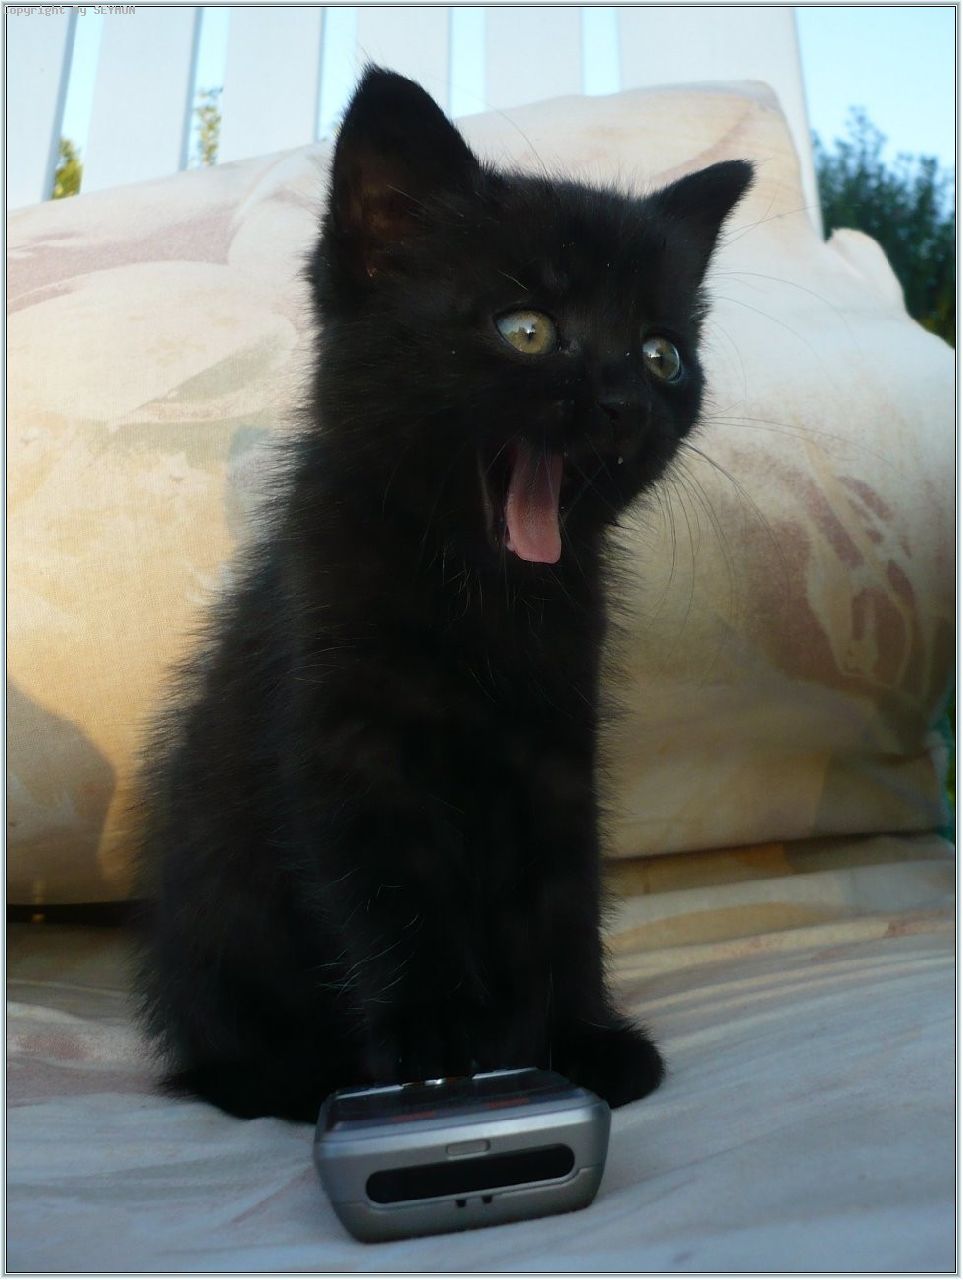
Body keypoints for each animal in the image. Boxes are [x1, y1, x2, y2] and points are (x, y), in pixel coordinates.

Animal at [133, 66, 753, 1123]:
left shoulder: (558, 743)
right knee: (217, 1061)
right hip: (217, 924)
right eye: (528, 330)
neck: (483, 604)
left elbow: (565, 892)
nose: (625, 404)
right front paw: (439, 1052)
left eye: (662, 353)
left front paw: (580, 1039)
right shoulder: (347, 742)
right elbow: (391, 900)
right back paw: (289, 1077)